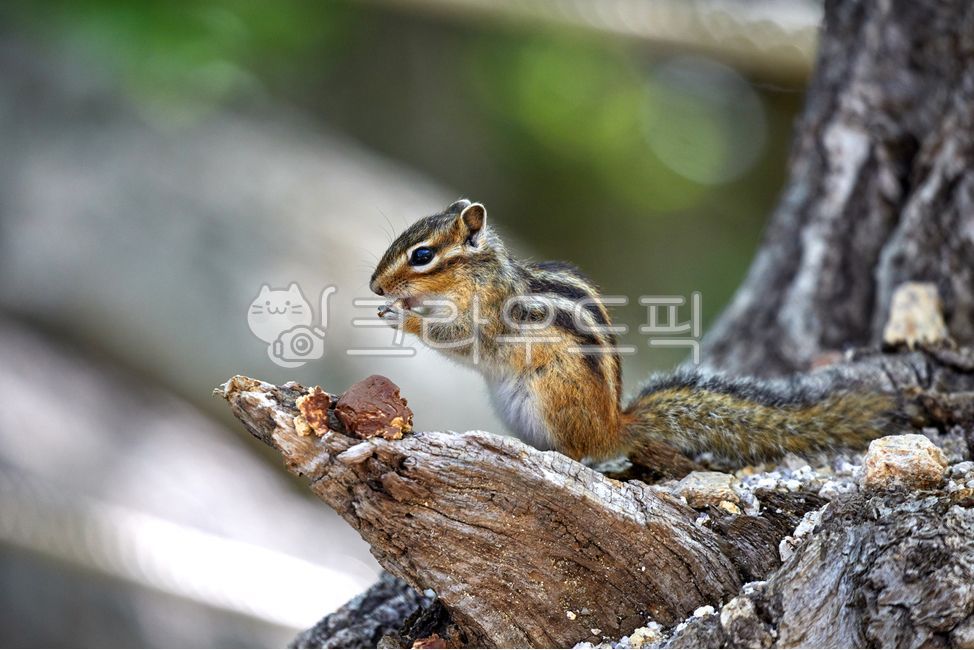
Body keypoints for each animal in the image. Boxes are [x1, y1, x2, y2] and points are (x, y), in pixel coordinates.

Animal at [369, 199, 899, 465]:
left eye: (422, 255)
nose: (375, 286)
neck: (479, 273)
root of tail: (614, 426)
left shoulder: (491, 314)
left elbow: (458, 337)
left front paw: (403, 315)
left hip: (551, 396)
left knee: (580, 453)